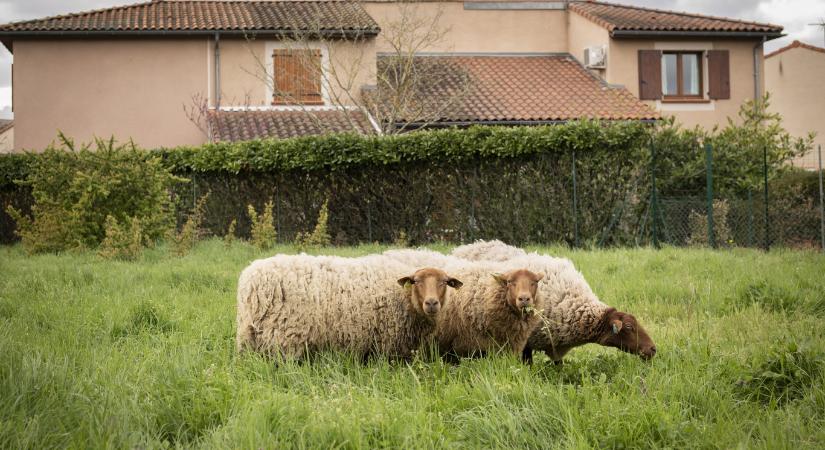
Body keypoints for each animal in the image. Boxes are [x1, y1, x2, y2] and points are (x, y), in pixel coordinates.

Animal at [237, 255, 464, 360]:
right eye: (416, 281)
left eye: (445, 282)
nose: (431, 303)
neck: (405, 298)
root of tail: (250, 279)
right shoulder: (388, 347)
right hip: (283, 339)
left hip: (250, 338)